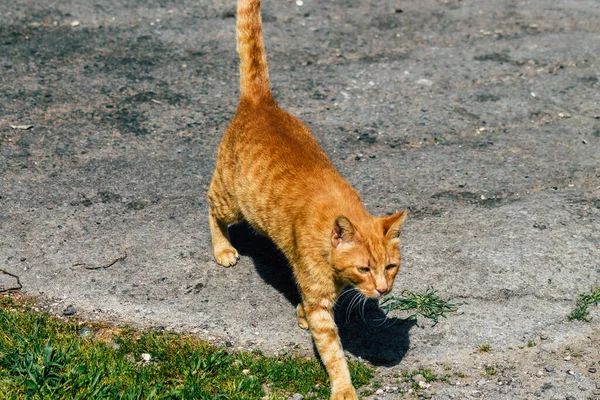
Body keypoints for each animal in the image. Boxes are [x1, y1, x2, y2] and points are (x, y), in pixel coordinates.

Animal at [206, 0, 408, 396]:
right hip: (231, 202)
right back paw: (222, 248)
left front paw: (298, 314)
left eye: (390, 266)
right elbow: (333, 351)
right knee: (209, 205)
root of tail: (261, 102)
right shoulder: (319, 300)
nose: (382, 289)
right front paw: (343, 389)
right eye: (365, 269)